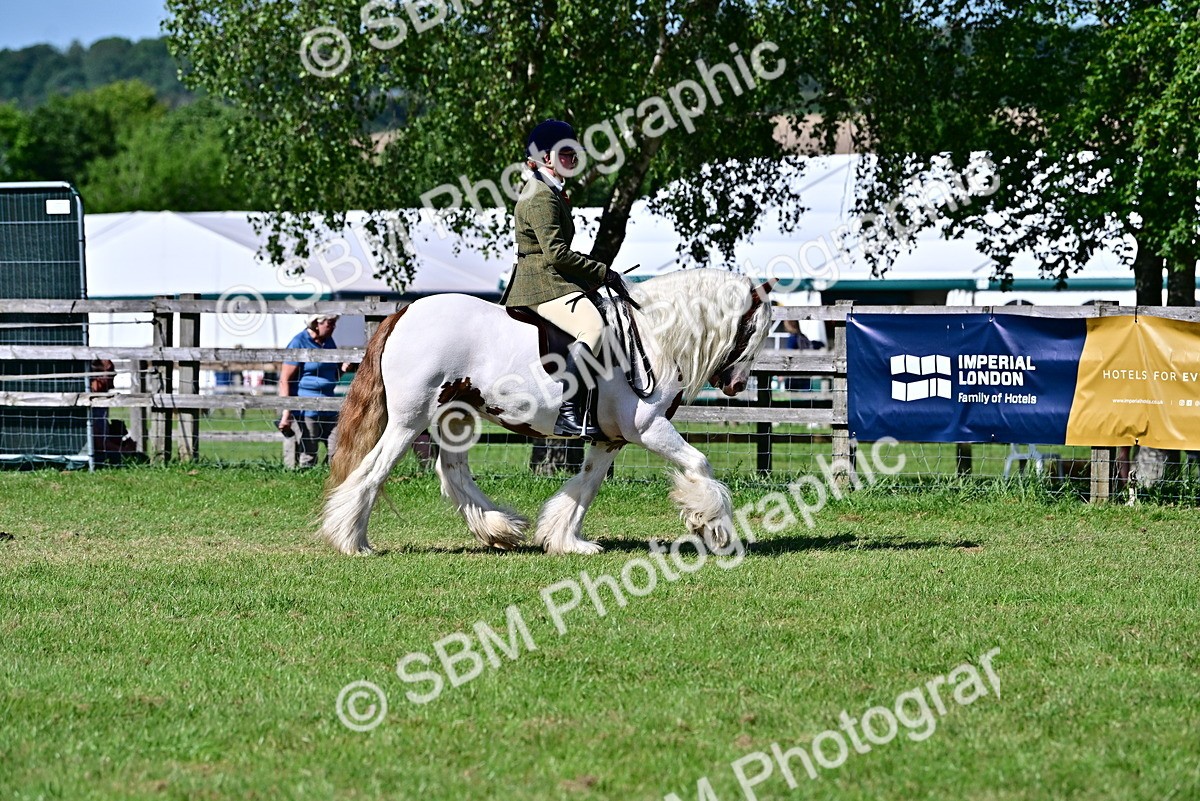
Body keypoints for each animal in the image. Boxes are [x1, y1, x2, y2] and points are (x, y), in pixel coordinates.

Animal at [319, 269, 777, 555]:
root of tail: (404, 312)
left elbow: (586, 487)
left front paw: (567, 541)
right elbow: (700, 463)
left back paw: (499, 528)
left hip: (456, 416)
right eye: (754, 328)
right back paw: (353, 542)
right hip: (409, 419)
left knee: (451, 471)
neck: (650, 337)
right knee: (373, 471)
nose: (736, 385)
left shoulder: (610, 440)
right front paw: (714, 528)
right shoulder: (649, 428)